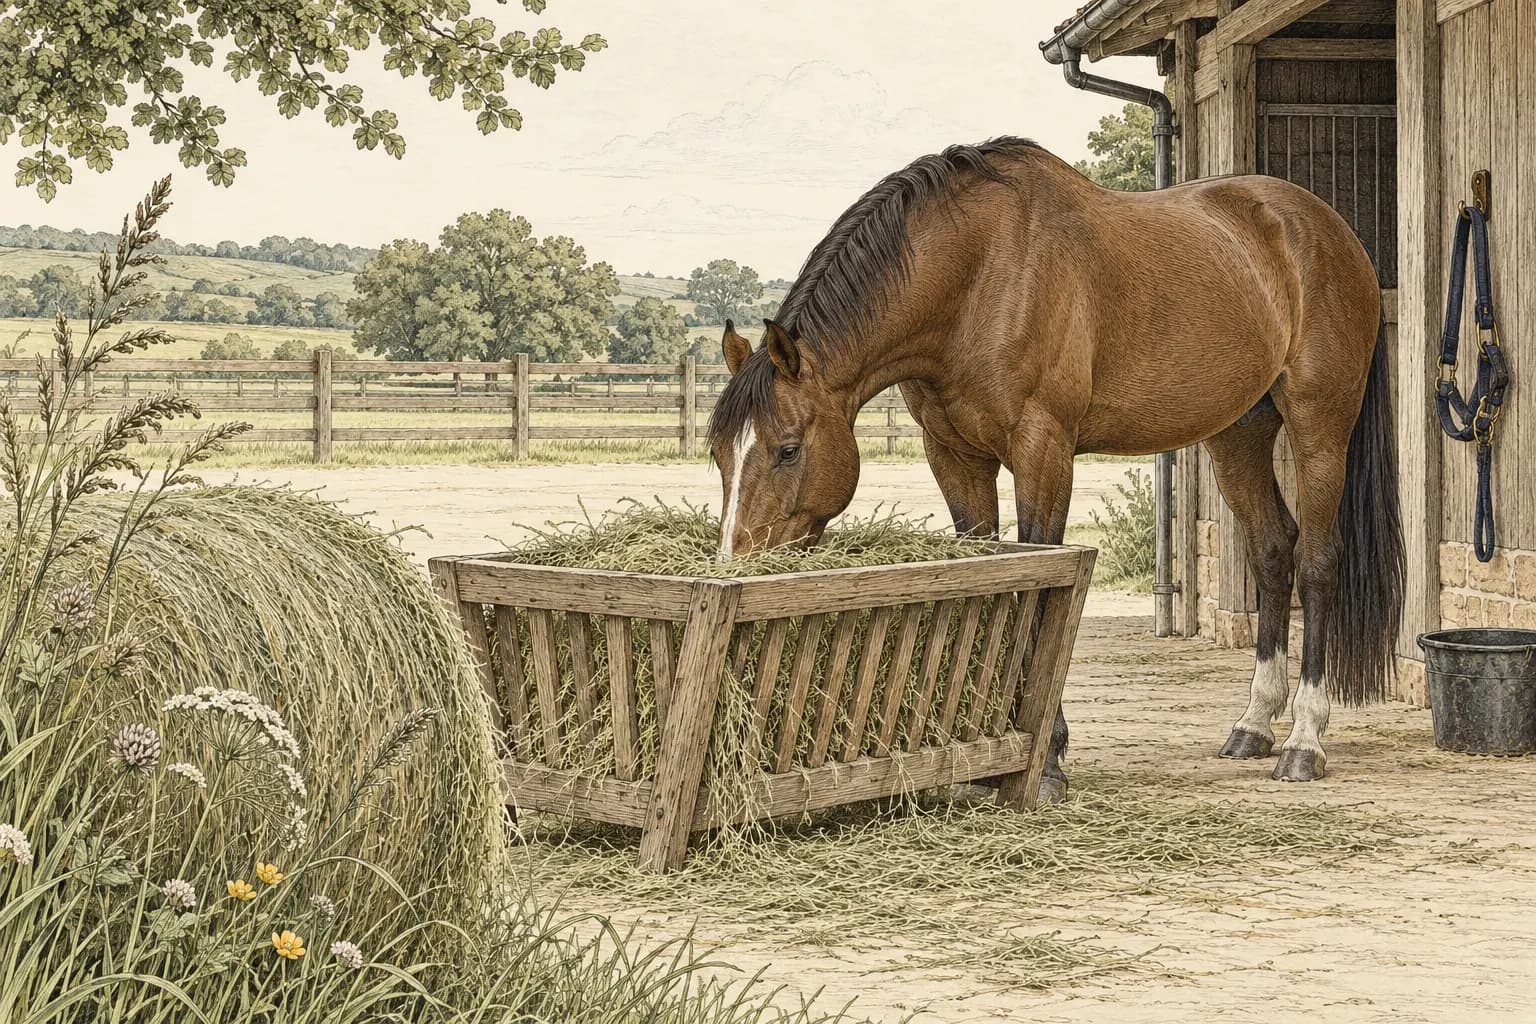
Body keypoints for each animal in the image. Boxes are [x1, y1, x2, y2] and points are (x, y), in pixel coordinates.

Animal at [706, 137, 1403, 801]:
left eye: (788, 449)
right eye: (718, 452)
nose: (736, 564)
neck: (977, 278)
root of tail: (1329, 231)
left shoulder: (1043, 451)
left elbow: (1042, 585)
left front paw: (1046, 760)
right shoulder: (954, 457)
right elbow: (988, 585)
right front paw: (983, 758)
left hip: (1319, 426)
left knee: (1317, 562)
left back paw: (1305, 741)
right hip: (1238, 435)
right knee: (1272, 551)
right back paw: (1253, 726)